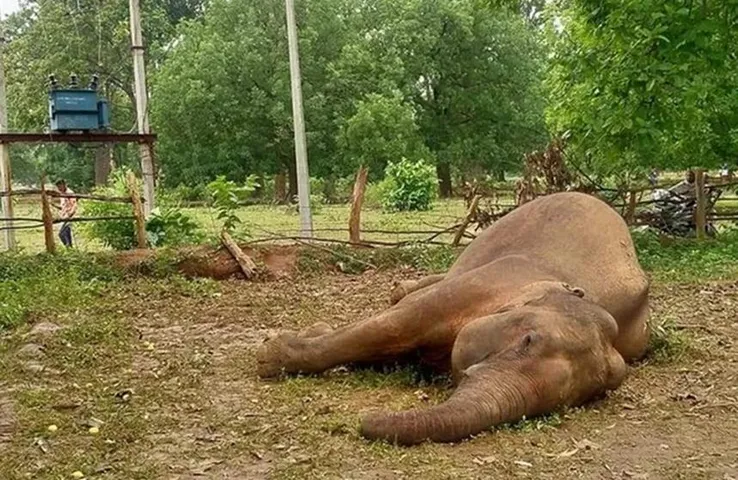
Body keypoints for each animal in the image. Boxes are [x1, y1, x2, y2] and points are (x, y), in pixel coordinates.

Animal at [256, 192, 650, 445]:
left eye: (577, 399)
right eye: (528, 340)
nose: (361, 422)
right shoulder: (494, 277)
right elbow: (395, 324)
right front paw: (269, 355)